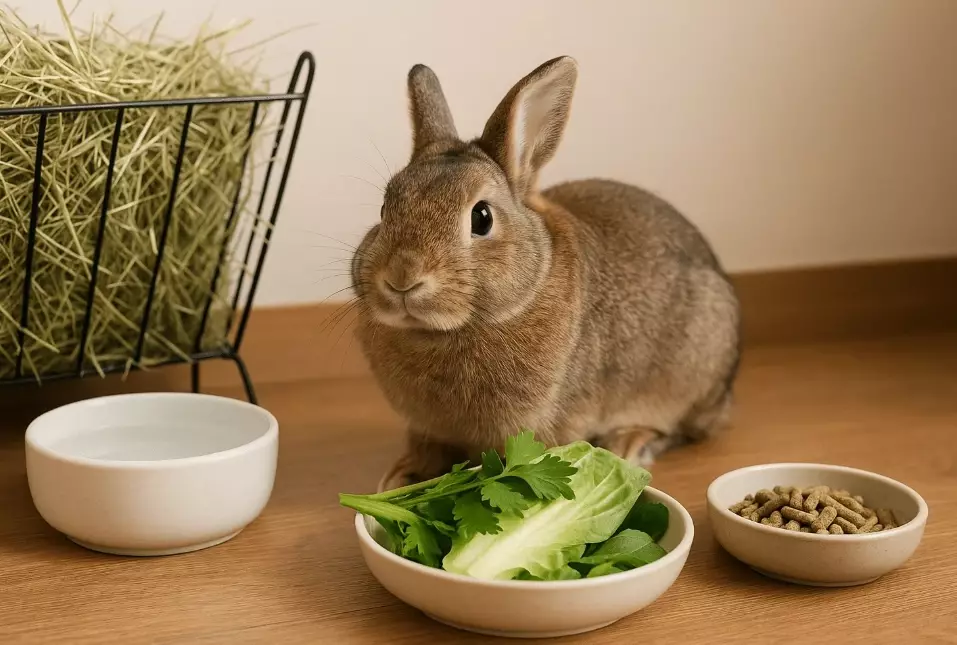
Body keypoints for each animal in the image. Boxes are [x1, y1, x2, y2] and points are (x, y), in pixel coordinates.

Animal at [350, 56, 741, 492]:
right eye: (385, 210)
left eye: (481, 218)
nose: (402, 277)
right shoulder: (428, 429)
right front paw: (400, 478)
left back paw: (628, 443)